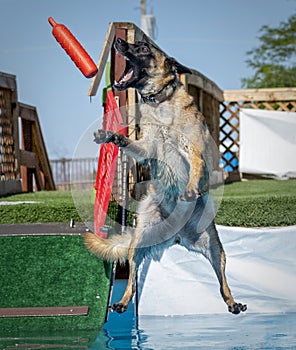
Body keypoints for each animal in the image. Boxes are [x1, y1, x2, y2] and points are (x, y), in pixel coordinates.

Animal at [84, 34, 246, 314]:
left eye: (143, 47)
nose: (118, 41)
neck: (160, 102)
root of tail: (176, 234)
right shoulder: (148, 147)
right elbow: (133, 144)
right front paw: (113, 136)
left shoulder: (192, 149)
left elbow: (195, 165)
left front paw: (190, 188)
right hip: (139, 241)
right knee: (132, 278)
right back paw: (123, 301)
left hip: (215, 247)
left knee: (222, 280)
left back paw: (233, 302)